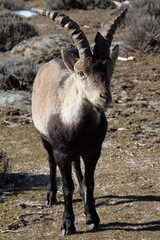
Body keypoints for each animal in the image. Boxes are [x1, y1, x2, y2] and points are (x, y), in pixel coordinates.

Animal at [31, 7, 126, 234]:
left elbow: (90, 182)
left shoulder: (93, 151)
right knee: (50, 160)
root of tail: (51, 61)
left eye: (109, 70)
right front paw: (68, 224)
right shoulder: (61, 152)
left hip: (77, 152)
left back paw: (82, 197)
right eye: (80, 72)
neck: (78, 127)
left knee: (77, 168)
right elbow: (68, 187)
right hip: (44, 138)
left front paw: (92, 217)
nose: (104, 97)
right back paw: (50, 195)